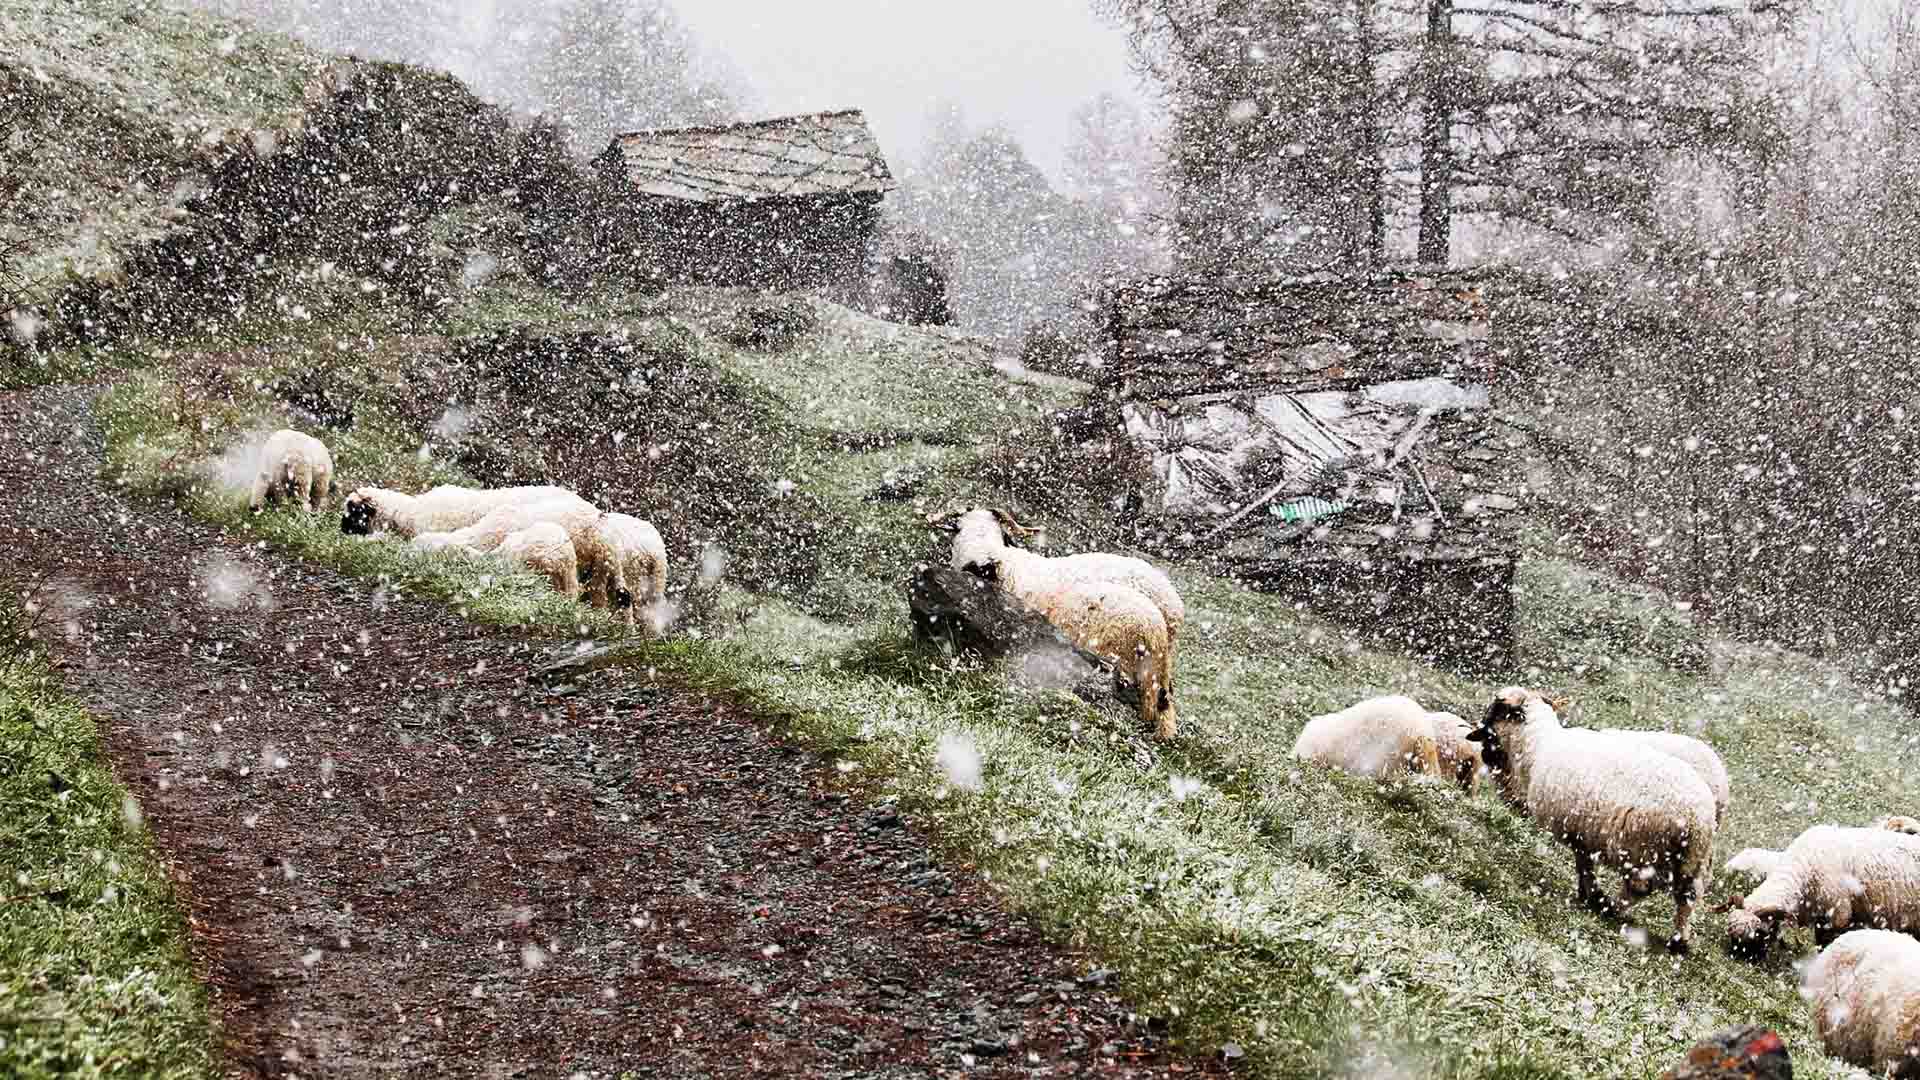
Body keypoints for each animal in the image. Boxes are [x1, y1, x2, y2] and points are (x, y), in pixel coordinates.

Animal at [1467, 686, 1718, 953]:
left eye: (1495, 712)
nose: (1483, 752)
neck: (1539, 745)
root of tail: (1698, 820)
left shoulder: (1578, 831)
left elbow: (1584, 865)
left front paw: (1589, 894)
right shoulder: (1584, 833)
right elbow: (1584, 865)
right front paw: (1586, 892)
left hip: (1644, 851)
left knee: (1639, 889)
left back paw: (1610, 907)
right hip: (1691, 862)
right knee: (1688, 897)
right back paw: (1679, 940)